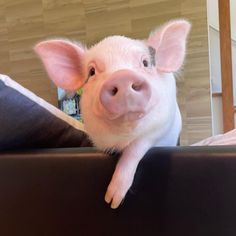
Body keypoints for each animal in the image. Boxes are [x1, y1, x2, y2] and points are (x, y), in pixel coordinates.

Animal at [34, 19, 190, 208]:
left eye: (145, 63)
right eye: (92, 72)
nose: (122, 76)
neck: (122, 137)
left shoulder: (162, 128)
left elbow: (136, 148)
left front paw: (112, 201)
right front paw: (110, 201)